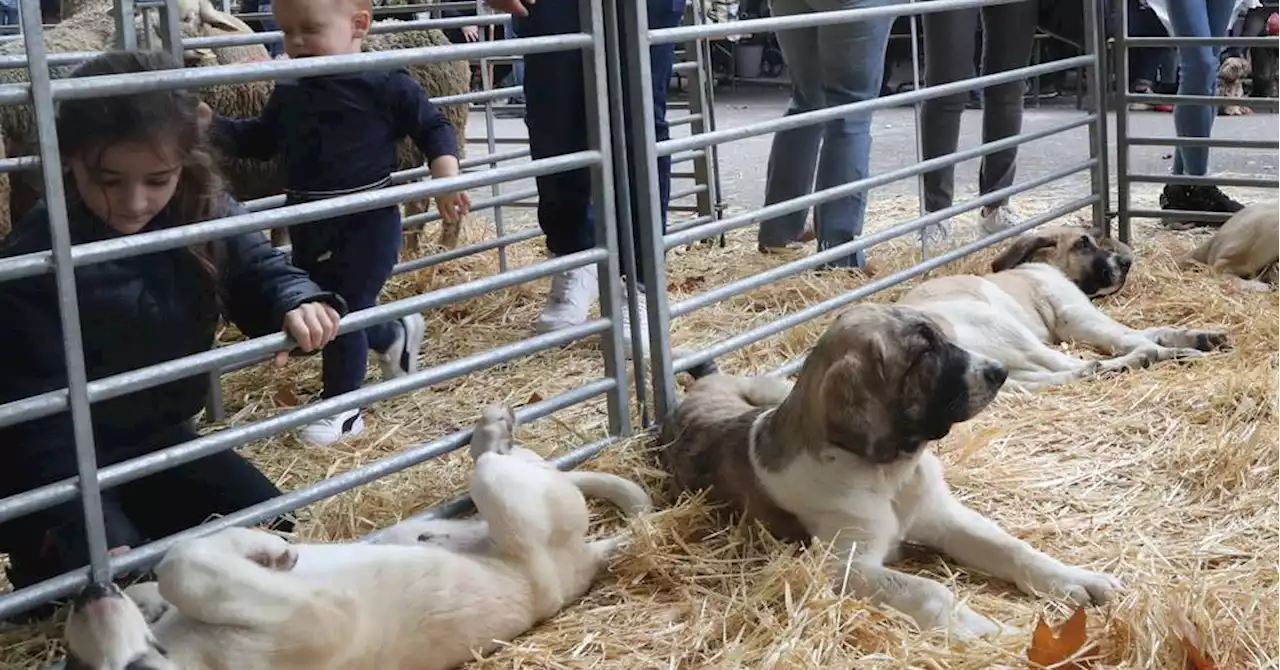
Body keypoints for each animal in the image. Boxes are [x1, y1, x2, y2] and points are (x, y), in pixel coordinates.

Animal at [660, 303, 1121, 640]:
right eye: (924, 352)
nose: (999, 372)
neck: (890, 474)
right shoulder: (844, 565)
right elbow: (928, 589)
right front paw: (981, 628)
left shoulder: (945, 519)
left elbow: (1012, 548)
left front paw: (1075, 579)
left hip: (770, 389)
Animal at [890, 225, 1228, 394]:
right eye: (1084, 244)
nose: (1126, 263)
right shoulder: (1077, 317)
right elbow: (1132, 336)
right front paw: (1180, 348)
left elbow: (1154, 330)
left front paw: (1200, 336)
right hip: (1004, 328)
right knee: (1073, 363)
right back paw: (1145, 359)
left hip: (1008, 363)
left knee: (1049, 377)